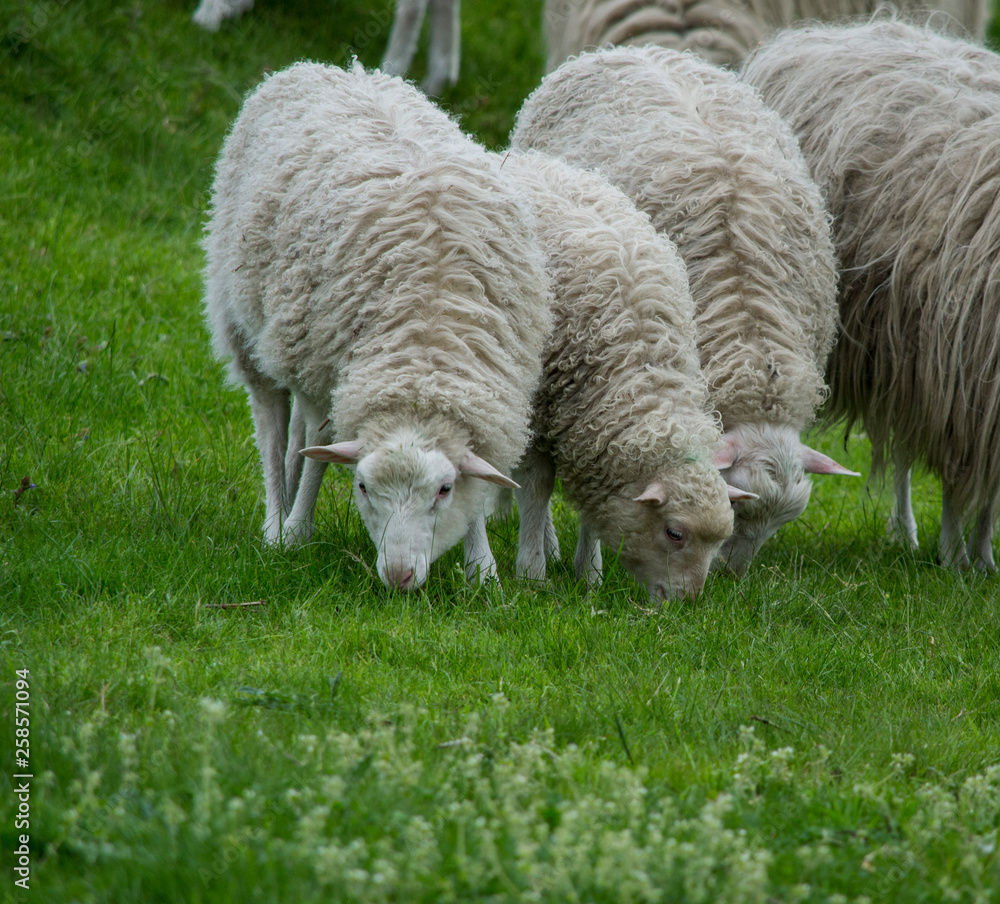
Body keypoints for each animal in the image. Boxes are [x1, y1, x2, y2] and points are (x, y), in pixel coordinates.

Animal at [202, 60, 552, 590]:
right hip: (249, 323)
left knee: (296, 440)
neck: (424, 350)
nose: (399, 576)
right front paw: (297, 532)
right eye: (363, 487)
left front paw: (482, 569)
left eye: (444, 489)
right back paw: (276, 521)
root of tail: (326, 68)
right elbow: (320, 451)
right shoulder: (325, 366)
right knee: (273, 427)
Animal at [499, 150, 754, 601]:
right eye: (674, 533)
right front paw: (531, 574)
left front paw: (590, 573)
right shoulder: (543, 415)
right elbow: (538, 488)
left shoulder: (594, 438)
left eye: (721, 541)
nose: (687, 602)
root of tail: (524, 159)